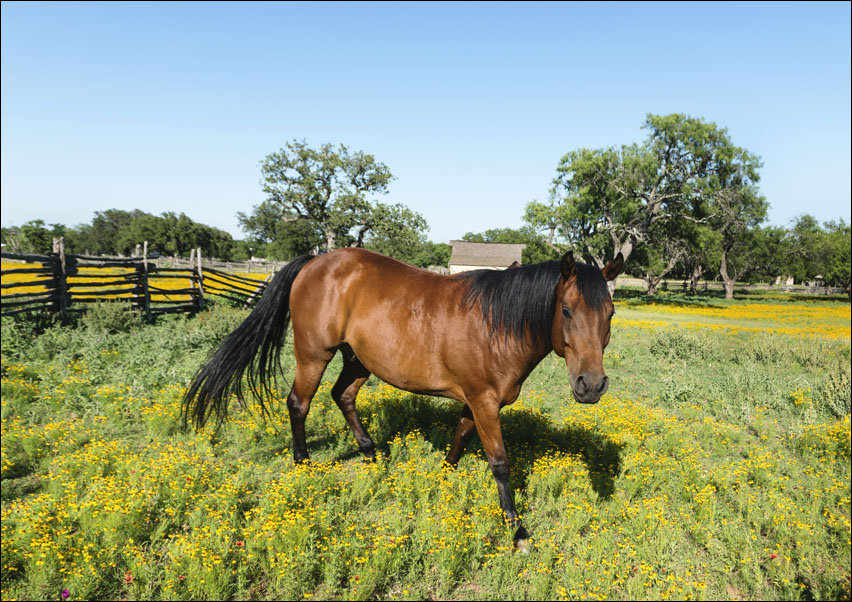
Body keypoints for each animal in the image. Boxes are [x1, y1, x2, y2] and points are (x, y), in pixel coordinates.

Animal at [182, 247, 624, 546]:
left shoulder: (475, 401)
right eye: (566, 311)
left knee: (342, 396)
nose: (591, 384)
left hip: (358, 359)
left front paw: (441, 480)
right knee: (299, 403)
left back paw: (372, 455)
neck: (497, 324)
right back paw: (304, 464)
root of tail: (315, 262)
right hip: (313, 354)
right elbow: (500, 463)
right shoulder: (484, 402)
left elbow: (459, 439)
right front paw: (517, 530)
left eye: (611, 313)